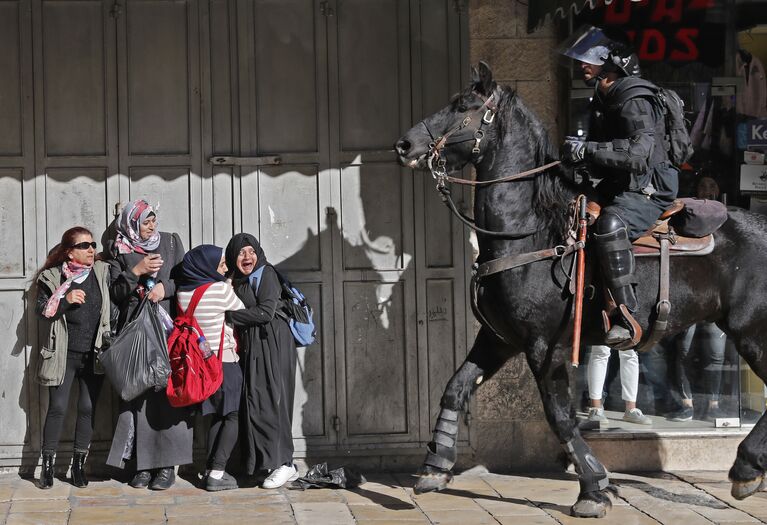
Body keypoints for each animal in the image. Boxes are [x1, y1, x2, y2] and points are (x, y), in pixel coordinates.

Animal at [396, 62, 767, 516]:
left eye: (463, 106)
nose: (405, 144)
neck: (528, 233)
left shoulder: (544, 347)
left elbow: (560, 417)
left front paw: (593, 488)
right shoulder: (499, 338)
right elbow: (455, 388)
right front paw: (435, 465)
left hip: (753, 334)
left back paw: (747, 467)